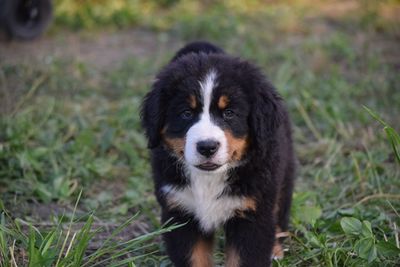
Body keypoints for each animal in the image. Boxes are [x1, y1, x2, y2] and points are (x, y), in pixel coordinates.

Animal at [140, 42, 294, 267]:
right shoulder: (181, 212)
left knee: (280, 212)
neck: (209, 179)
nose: (207, 147)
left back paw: (275, 249)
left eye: (229, 113)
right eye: (186, 113)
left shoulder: (252, 216)